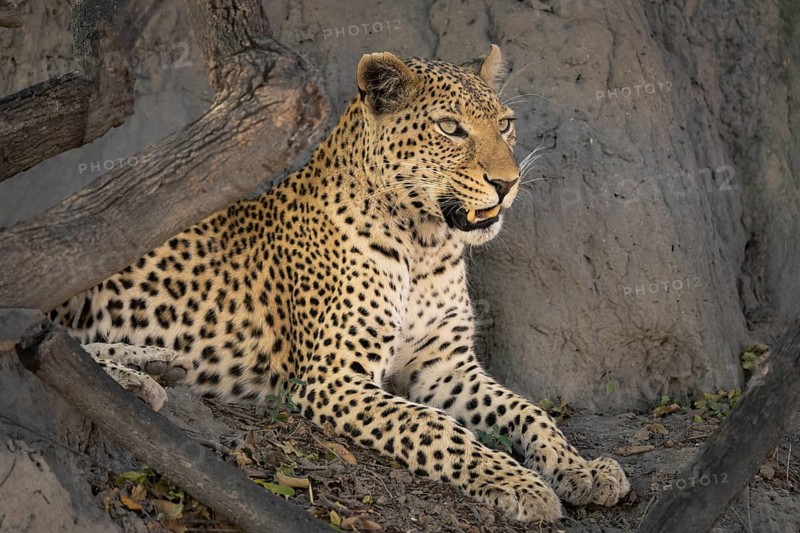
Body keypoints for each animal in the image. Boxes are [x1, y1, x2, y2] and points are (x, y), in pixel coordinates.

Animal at [50, 45, 629, 523]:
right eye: (449, 127)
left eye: (506, 125)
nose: (507, 183)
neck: (425, 244)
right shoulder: (335, 379)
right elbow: (436, 429)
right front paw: (518, 484)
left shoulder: (444, 367)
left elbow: (530, 411)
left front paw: (583, 469)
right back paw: (132, 383)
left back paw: (155, 363)